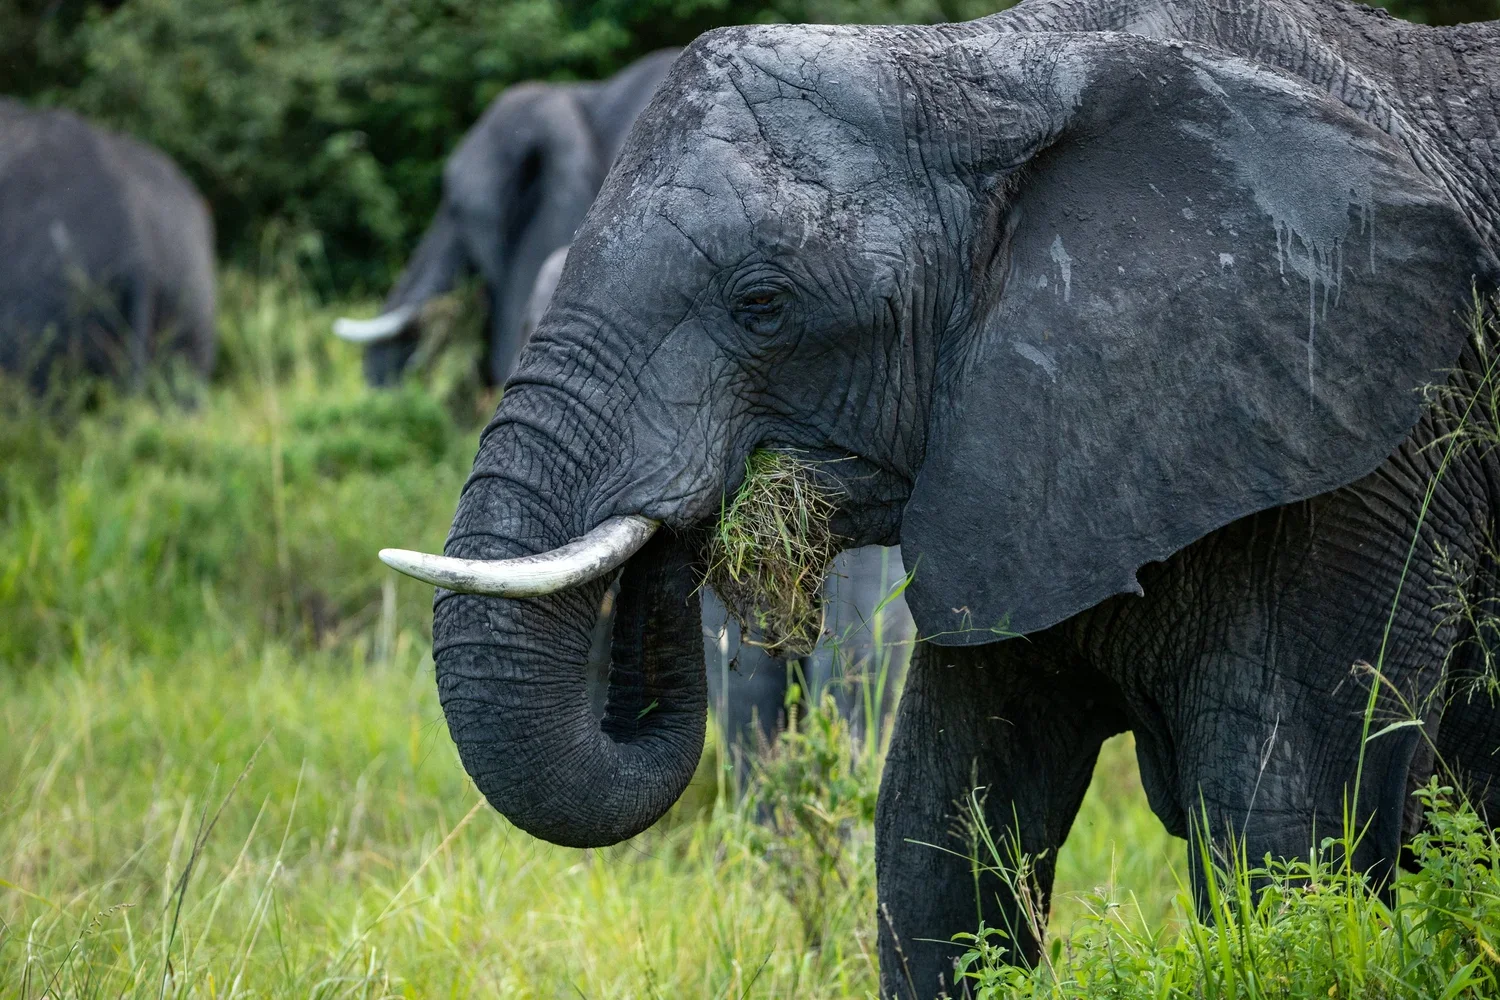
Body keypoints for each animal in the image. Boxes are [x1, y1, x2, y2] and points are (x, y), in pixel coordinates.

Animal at [376, 0, 1500, 996]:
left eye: (762, 304)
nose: (686, 526)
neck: (995, 64)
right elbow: (938, 838)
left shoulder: (1382, 444)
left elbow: (1283, 835)